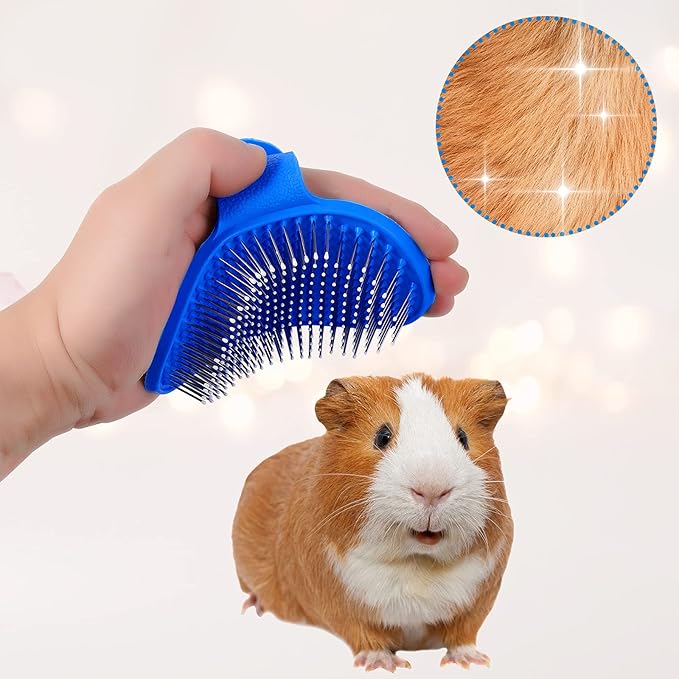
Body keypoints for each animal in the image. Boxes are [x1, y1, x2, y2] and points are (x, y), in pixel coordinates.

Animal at [232, 374, 512, 672]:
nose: (432, 490)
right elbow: (365, 635)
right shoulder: (340, 603)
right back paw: (254, 607)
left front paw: (472, 662)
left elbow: (464, 634)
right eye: (382, 436)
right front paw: (385, 665)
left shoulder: (479, 599)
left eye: (463, 438)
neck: (417, 562)